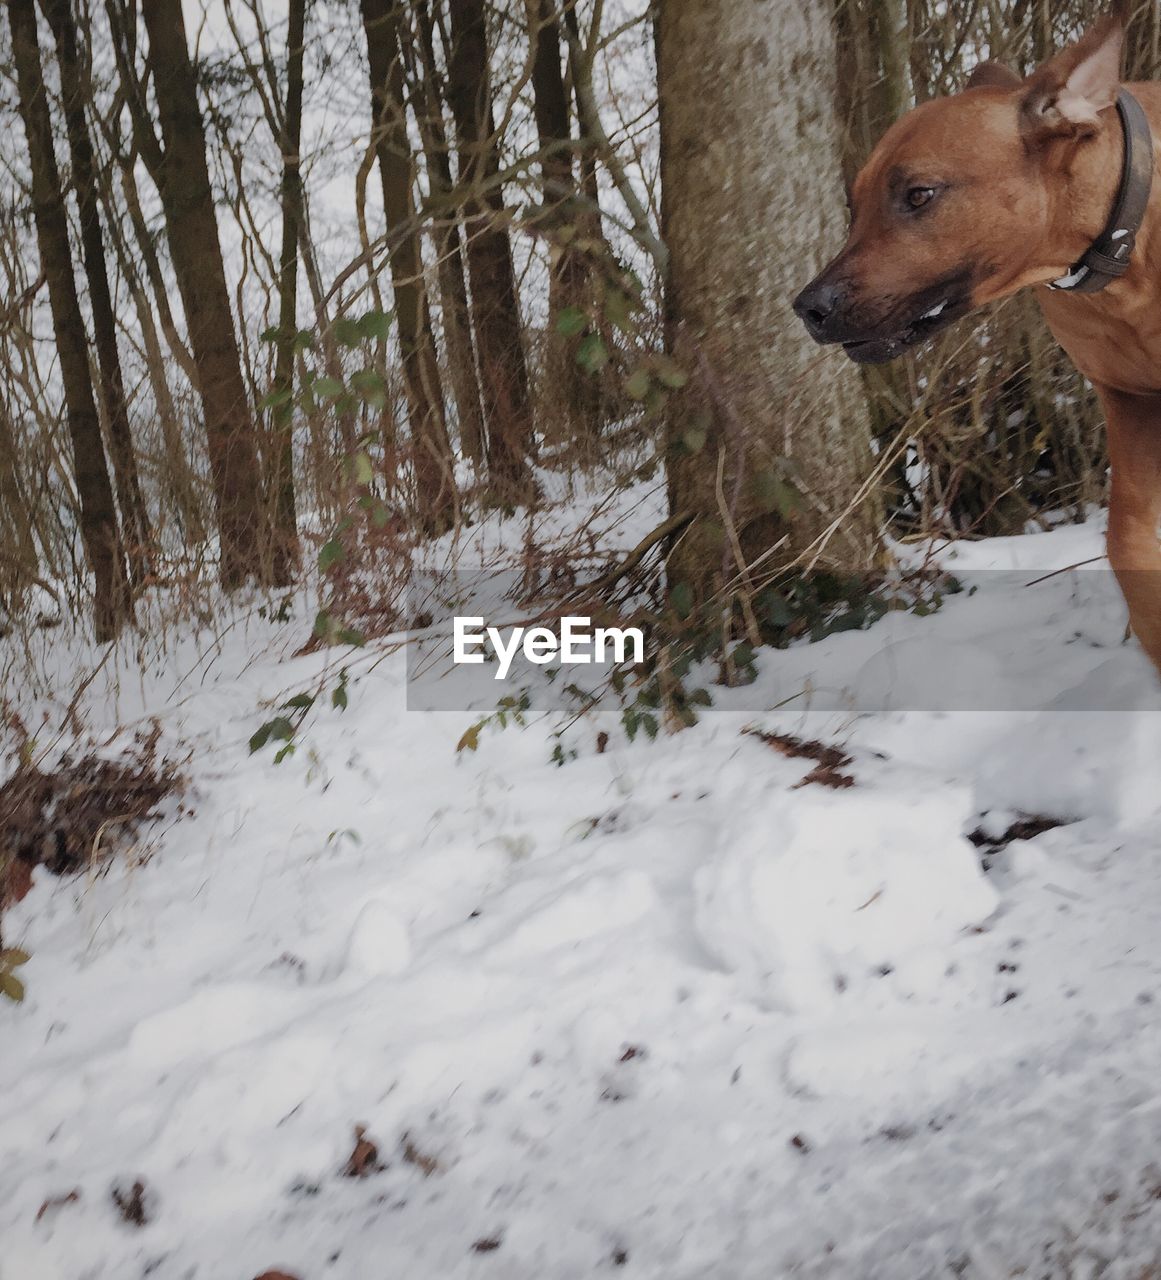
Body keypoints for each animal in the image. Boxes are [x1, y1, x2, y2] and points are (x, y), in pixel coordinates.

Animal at [793, 10, 1161, 680]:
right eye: (854, 204)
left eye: (918, 195)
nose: (808, 307)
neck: (1122, 251)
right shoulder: (1129, 398)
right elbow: (1124, 534)